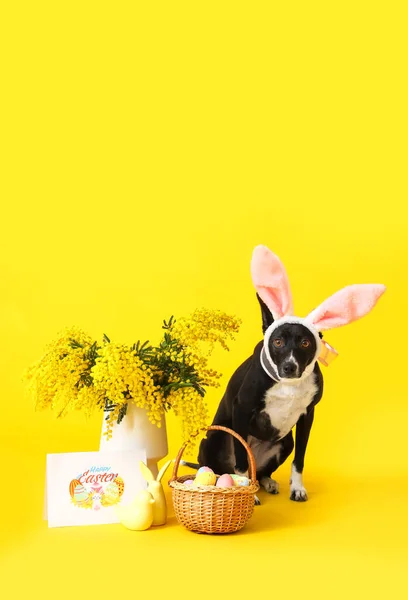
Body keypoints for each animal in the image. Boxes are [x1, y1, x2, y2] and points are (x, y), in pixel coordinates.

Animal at [186, 244, 386, 502]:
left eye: (305, 343)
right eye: (278, 341)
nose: (289, 367)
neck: (288, 384)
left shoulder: (307, 417)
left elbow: (299, 460)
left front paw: (297, 488)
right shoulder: (241, 410)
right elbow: (241, 461)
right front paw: (247, 494)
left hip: (286, 441)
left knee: (261, 472)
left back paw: (268, 482)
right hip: (214, 438)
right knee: (224, 469)